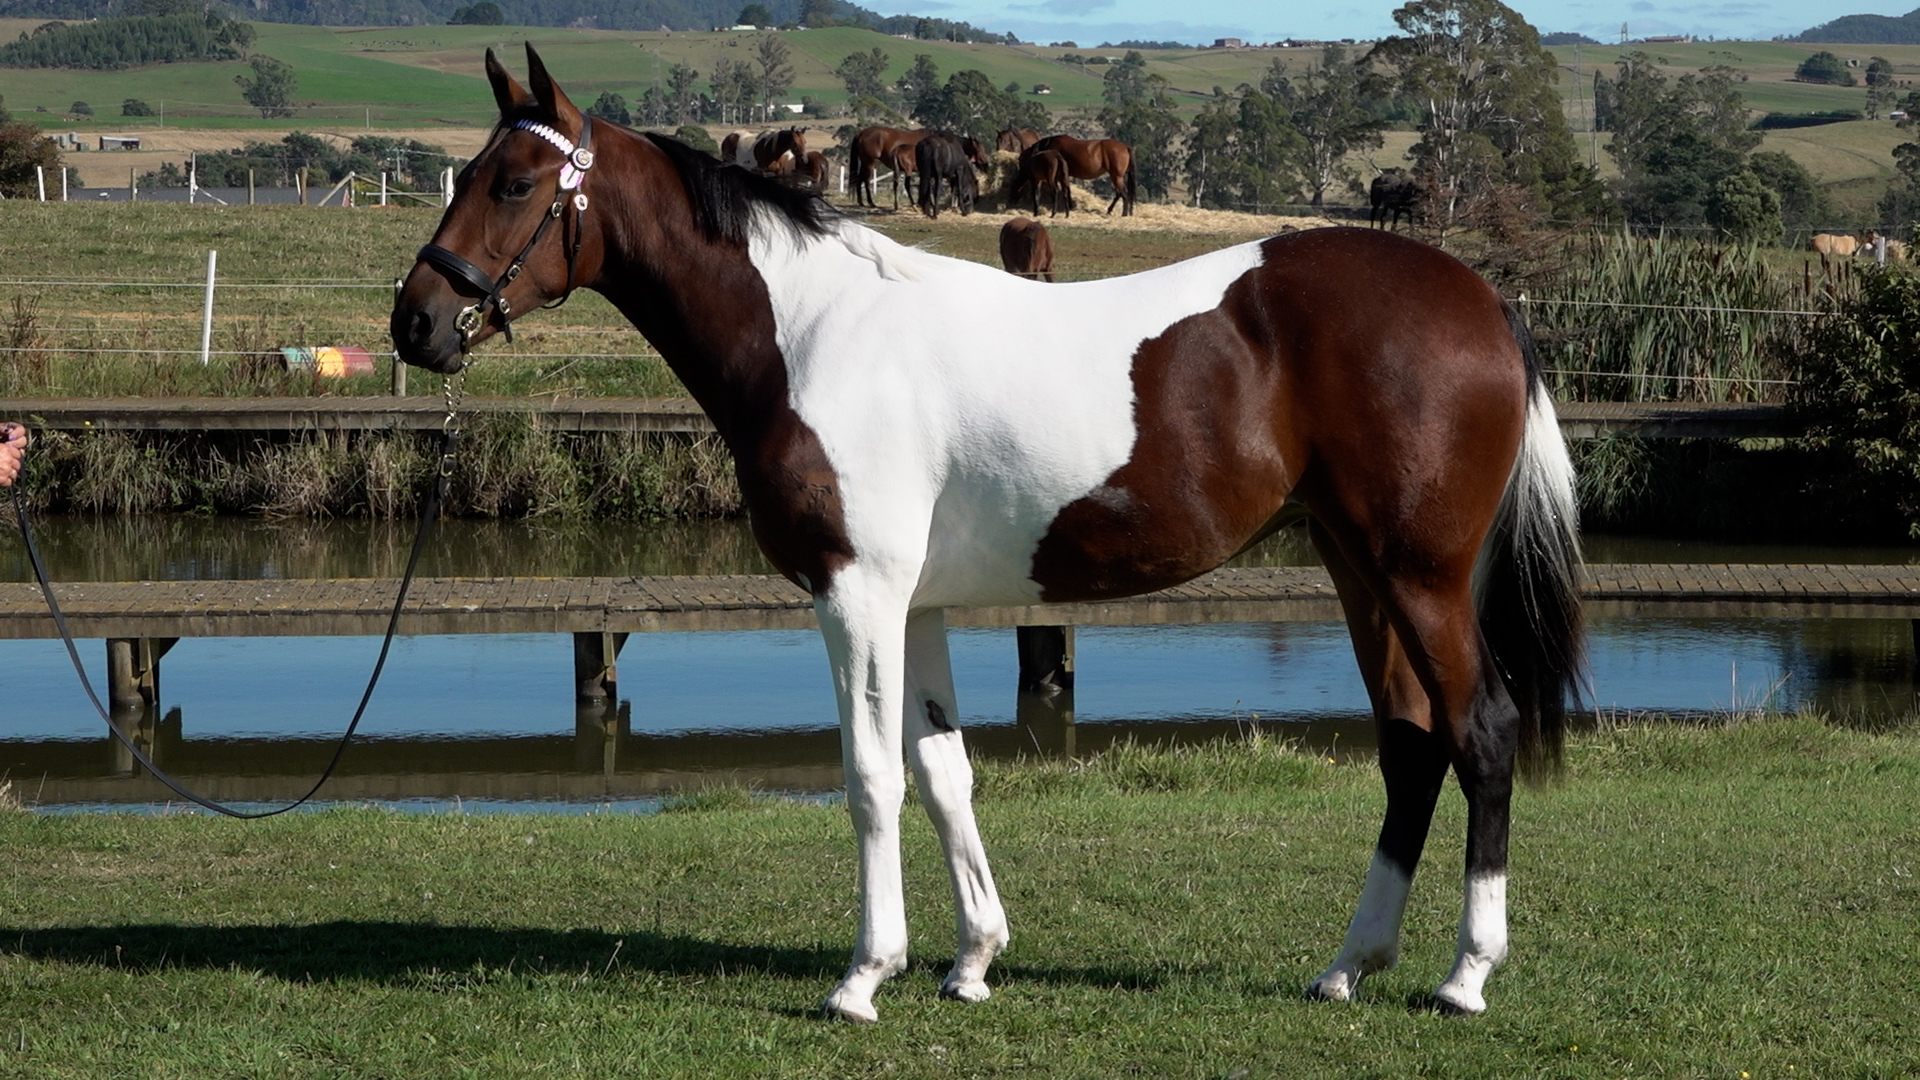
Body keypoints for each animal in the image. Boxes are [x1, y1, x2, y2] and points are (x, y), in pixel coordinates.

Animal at [393, 46, 1585, 1024]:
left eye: (514, 183)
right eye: (466, 173)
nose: (415, 322)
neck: (812, 332)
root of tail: (1484, 300)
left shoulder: (855, 595)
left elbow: (871, 776)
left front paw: (864, 977)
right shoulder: (912, 605)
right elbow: (941, 772)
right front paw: (971, 961)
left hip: (1420, 575)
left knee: (1479, 730)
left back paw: (1466, 975)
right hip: (1355, 568)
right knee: (1411, 741)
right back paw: (1348, 966)